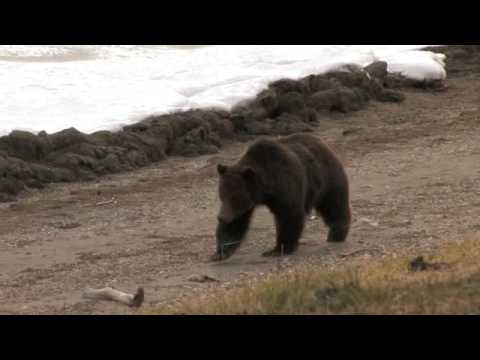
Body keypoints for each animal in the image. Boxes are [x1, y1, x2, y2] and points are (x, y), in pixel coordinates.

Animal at [212, 133, 350, 262]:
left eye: (235, 197)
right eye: (222, 195)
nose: (221, 217)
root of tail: (322, 143)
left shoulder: (285, 184)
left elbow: (289, 215)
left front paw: (278, 250)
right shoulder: (246, 202)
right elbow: (236, 222)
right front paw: (220, 253)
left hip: (328, 178)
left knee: (334, 205)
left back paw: (337, 234)